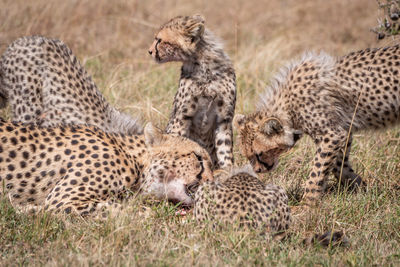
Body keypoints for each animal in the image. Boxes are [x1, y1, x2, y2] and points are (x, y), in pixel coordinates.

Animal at [148, 15, 236, 170]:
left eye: (159, 40)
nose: (149, 51)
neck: (204, 70)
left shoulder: (224, 119)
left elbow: (225, 150)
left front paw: (228, 170)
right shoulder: (181, 117)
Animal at [233, 47, 400, 207]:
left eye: (259, 154)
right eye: (248, 155)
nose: (257, 170)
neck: (287, 105)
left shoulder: (332, 134)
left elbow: (317, 170)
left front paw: (307, 205)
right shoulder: (342, 130)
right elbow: (338, 165)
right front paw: (358, 186)